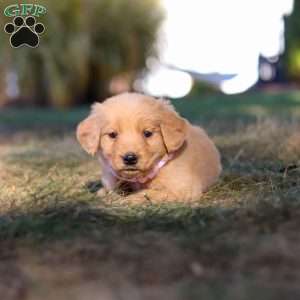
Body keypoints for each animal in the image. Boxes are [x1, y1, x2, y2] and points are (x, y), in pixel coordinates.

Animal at [77, 92, 223, 203]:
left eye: (147, 133)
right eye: (112, 134)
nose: (130, 158)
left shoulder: (183, 189)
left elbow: (147, 193)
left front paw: (126, 200)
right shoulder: (111, 178)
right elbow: (111, 190)